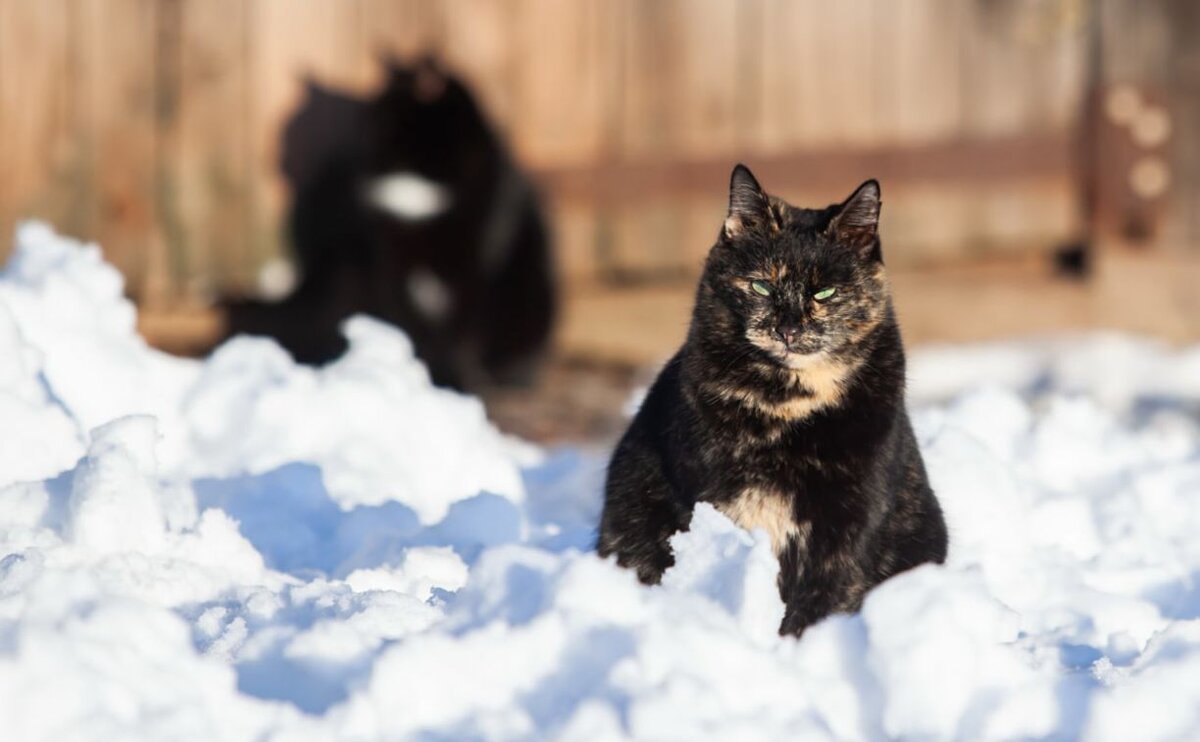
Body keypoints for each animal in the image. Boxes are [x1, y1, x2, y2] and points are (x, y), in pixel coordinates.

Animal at [223, 59, 554, 386]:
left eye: (381, 116)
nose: (361, 130)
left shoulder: (474, 262)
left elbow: (459, 332)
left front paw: (450, 378)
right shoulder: (390, 259)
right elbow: (409, 322)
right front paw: (418, 368)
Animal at [597, 164, 945, 633]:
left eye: (824, 293)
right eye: (762, 286)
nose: (788, 329)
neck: (788, 405)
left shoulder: (852, 516)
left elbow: (828, 595)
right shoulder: (717, 497)